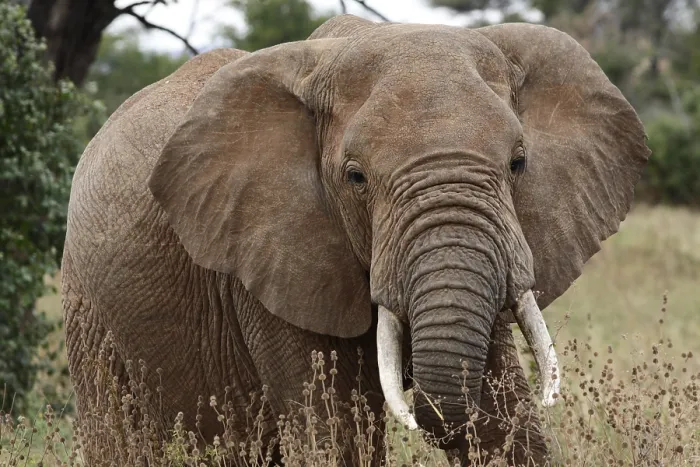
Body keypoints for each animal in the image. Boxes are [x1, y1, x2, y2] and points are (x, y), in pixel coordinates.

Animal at [61, 13, 650, 466]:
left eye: (519, 163)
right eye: (355, 177)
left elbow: (506, 428)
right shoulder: (268, 259)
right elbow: (331, 433)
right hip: (88, 312)